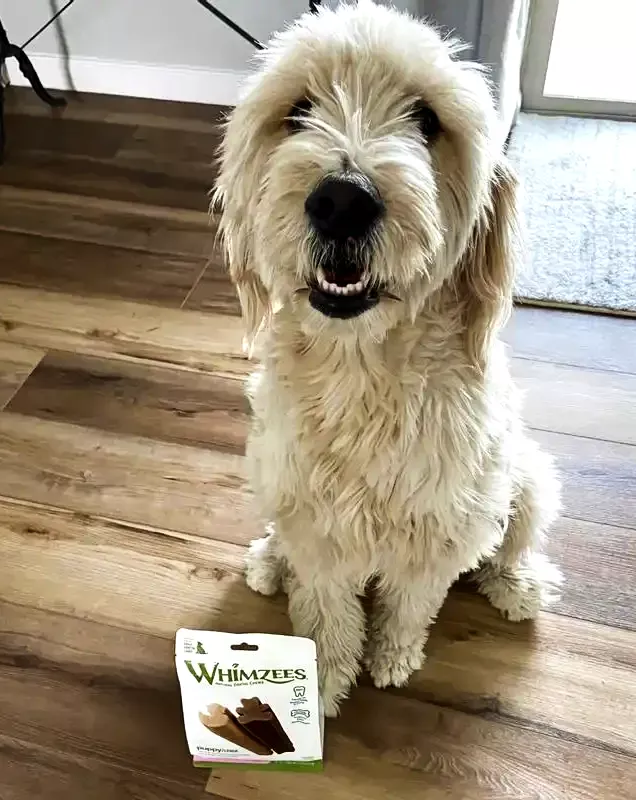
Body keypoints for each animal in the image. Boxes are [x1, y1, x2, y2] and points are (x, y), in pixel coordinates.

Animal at [215, 0, 560, 712]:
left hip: (528, 478)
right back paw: (269, 560)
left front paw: (394, 656)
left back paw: (517, 583)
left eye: (426, 119)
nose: (342, 200)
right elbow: (324, 607)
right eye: (298, 111)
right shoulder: (315, 523)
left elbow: (411, 603)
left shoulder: (440, 528)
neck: (363, 374)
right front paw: (322, 675)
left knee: (512, 543)